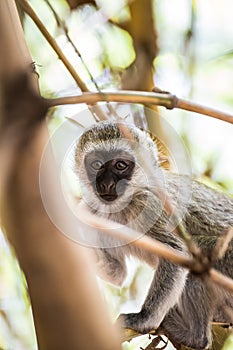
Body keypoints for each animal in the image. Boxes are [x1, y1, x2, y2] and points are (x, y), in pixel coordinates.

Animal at [74, 121, 233, 350]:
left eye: (120, 165)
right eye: (96, 164)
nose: (106, 185)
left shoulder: (148, 203)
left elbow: (177, 253)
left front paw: (143, 319)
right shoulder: (92, 214)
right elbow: (117, 272)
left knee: (200, 258)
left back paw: (193, 335)